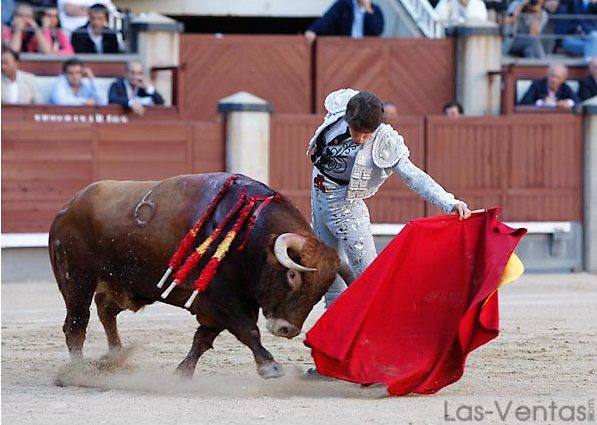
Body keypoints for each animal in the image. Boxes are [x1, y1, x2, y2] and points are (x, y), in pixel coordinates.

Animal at [49, 172, 352, 378]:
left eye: (321, 290)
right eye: (291, 275)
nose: (286, 330)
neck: (249, 235)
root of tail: (66, 209)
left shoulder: (226, 303)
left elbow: (203, 340)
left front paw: (182, 373)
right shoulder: (220, 299)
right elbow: (247, 330)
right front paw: (270, 367)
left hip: (122, 285)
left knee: (105, 311)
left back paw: (115, 356)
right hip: (77, 281)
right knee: (76, 325)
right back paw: (78, 370)